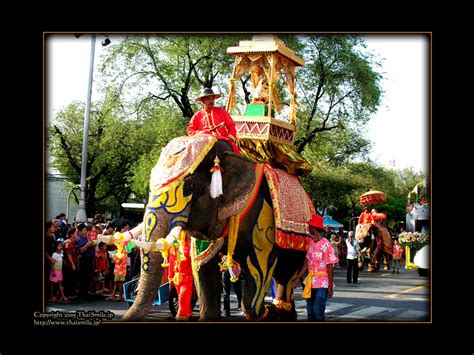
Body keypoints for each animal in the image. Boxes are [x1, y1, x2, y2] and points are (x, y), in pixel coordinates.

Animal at [109, 134, 314, 322]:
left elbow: (260, 264)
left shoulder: (262, 217)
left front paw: (267, 312)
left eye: (190, 185)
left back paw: (281, 309)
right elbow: (202, 265)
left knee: (286, 274)